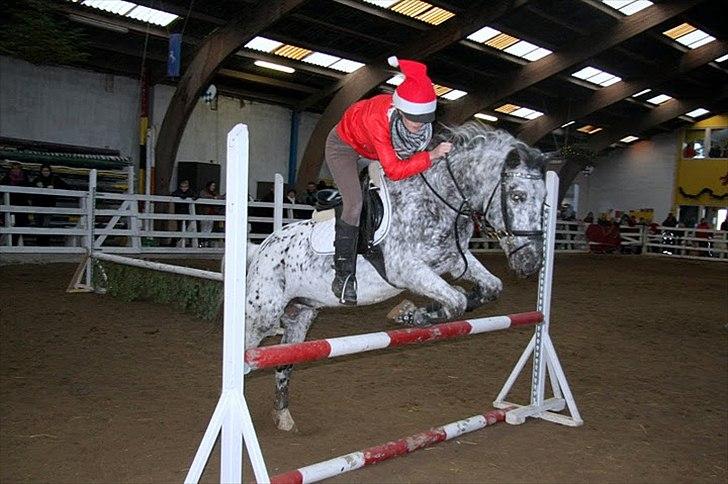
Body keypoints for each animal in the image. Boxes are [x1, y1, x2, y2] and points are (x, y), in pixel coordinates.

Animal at [245, 122, 544, 432]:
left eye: (545, 200)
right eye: (518, 196)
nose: (531, 262)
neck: (439, 201)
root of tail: (261, 248)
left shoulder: (453, 260)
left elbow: (489, 288)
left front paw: (423, 310)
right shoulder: (406, 268)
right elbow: (455, 301)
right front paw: (410, 314)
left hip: (300, 315)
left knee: (283, 363)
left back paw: (283, 416)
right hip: (262, 314)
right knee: (247, 355)